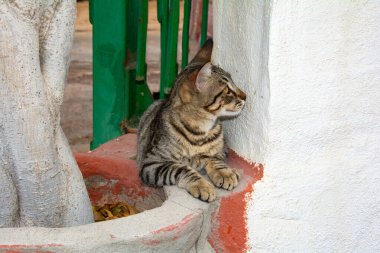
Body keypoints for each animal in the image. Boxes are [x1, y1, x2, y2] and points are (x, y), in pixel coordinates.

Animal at [137, 39, 246, 202]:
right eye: (227, 90)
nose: (245, 96)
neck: (200, 130)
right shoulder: (152, 163)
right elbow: (182, 169)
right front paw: (202, 185)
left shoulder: (222, 151)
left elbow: (214, 159)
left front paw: (224, 173)